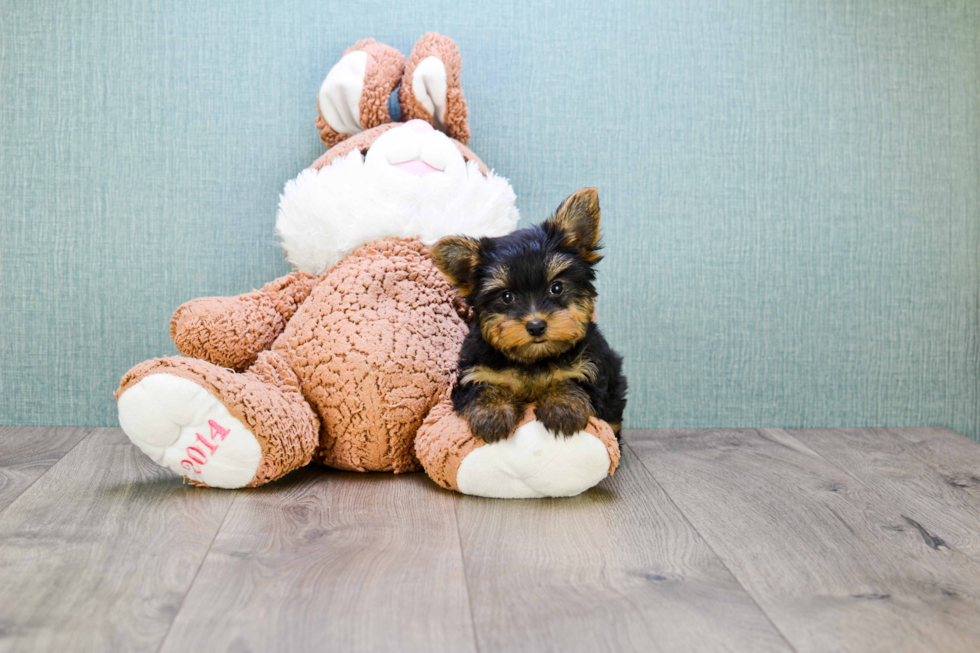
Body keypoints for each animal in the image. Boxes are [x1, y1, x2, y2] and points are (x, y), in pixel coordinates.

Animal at [434, 188, 632, 444]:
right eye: (507, 296)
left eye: (556, 287)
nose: (536, 326)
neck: (534, 360)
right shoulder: (472, 372)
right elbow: (483, 386)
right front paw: (492, 413)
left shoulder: (592, 371)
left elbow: (570, 380)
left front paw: (563, 407)